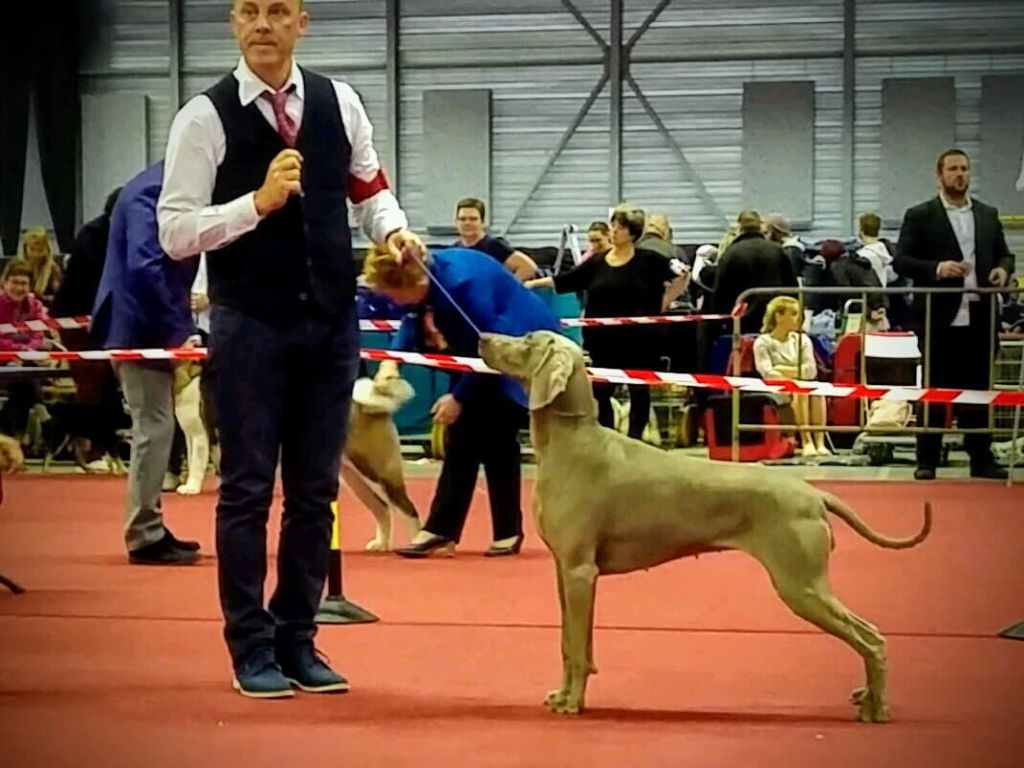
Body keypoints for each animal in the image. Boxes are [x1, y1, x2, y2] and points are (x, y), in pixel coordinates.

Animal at [343, 374, 421, 551]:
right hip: (355, 479)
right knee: (381, 508)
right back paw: (381, 544)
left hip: (377, 474)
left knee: (409, 509)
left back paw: (416, 545)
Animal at [479, 330, 932, 723]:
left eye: (527, 341)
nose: (481, 337)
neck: (570, 443)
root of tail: (815, 494)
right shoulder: (567, 572)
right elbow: (571, 644)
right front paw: (563, 695)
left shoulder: (579, 572)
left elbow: (574, 646)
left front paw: (572, 702)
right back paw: (867, 697)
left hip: (801, 584)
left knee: (872, 637)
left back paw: (877, 707)